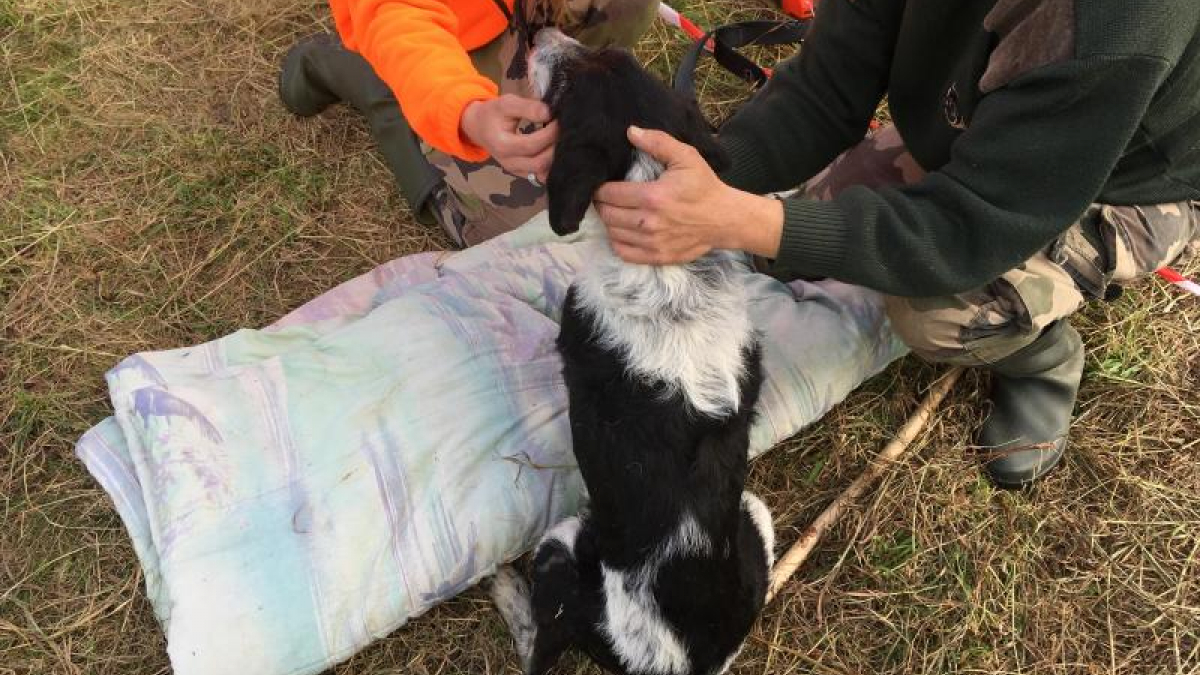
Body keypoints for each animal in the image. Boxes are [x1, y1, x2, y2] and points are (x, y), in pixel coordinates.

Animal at [489, 27, 777, 672]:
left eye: (567, 85)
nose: (537, 32)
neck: (673, 276)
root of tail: (675, 661)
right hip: (756, 519)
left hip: (562, 543)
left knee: (534, 644)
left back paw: (505, 590)